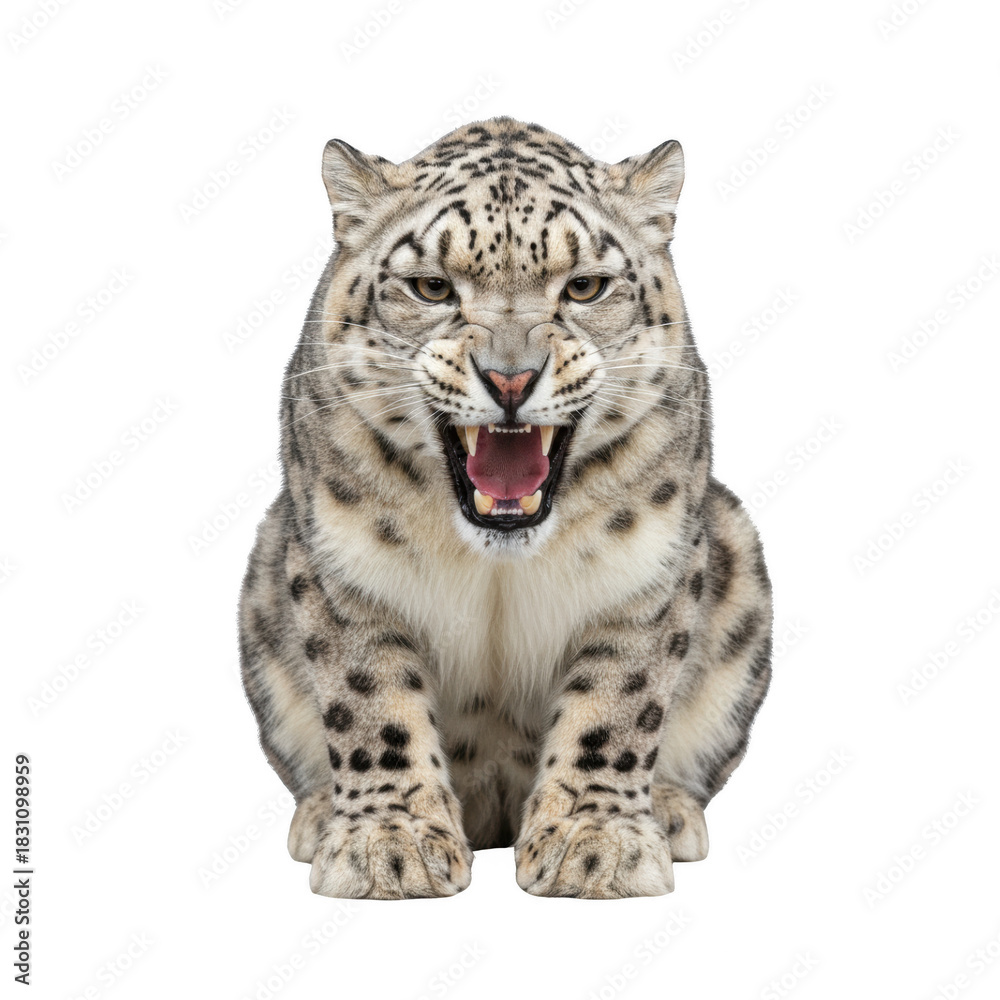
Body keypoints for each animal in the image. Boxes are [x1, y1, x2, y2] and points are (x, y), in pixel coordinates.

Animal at [238, 116, 772, 899]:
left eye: (585, 286)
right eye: (432, 286)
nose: (511, 379)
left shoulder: (646, 568)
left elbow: (617, 704)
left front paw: (595, 844)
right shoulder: (346, 571)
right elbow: (372, 705)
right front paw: (388, 846)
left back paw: (672, 811)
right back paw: (317, 815)